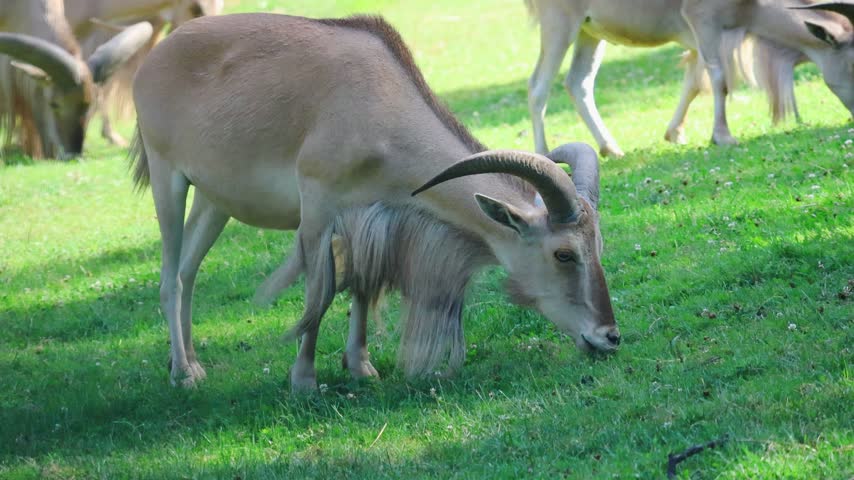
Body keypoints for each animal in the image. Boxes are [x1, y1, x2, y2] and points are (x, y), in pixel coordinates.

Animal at [130, 14, 621, 391]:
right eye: (563, 254)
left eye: (597, 248)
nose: (609, 337)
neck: (380, 104)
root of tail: (152, 60)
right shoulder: (318, 208)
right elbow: (319, 292)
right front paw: (304, 379)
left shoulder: (370, 215)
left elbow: (363, 287)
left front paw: (361, 367)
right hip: (167, 178)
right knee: (171, 279)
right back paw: (182, 373)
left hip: (214, 201)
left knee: (189, 271)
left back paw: (191, 361)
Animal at [525, 0, 854, 157]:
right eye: (853, 61)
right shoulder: (704, 23)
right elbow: (718, 77)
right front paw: (723, 136)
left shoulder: (699, 39)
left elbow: (694, 83)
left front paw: (675, 133)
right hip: (560, 24)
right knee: (538, 85)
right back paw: (542, 153)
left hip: (590, 33)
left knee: (578, 82)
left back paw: (611, 149)